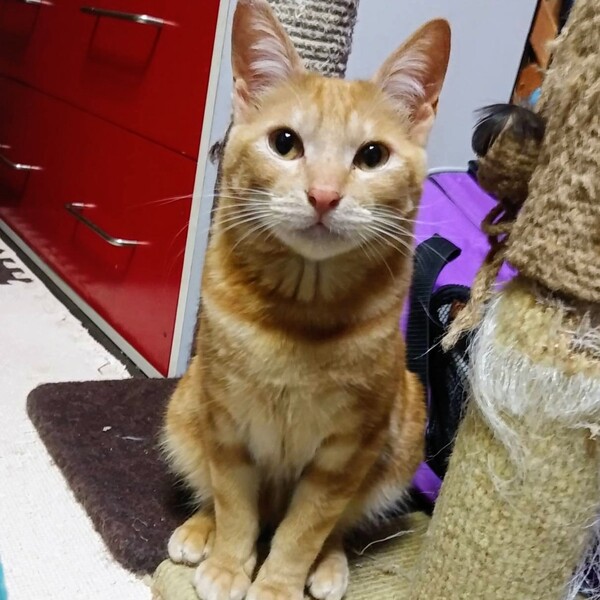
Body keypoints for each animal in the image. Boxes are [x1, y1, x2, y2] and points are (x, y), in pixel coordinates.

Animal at [162, 1, 450, 599]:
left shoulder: (345, 452)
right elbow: (234, 506)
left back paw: (330, 565)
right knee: (213, 494)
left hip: (404, 429)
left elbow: (306, 528)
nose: (323, 195)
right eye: (285, 143)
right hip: (184, 406)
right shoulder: (227, 425)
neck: (300, 315)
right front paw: (229, 565)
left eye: (372, 155)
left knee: (337, 525)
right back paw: (199, 530)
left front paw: (277, 583)